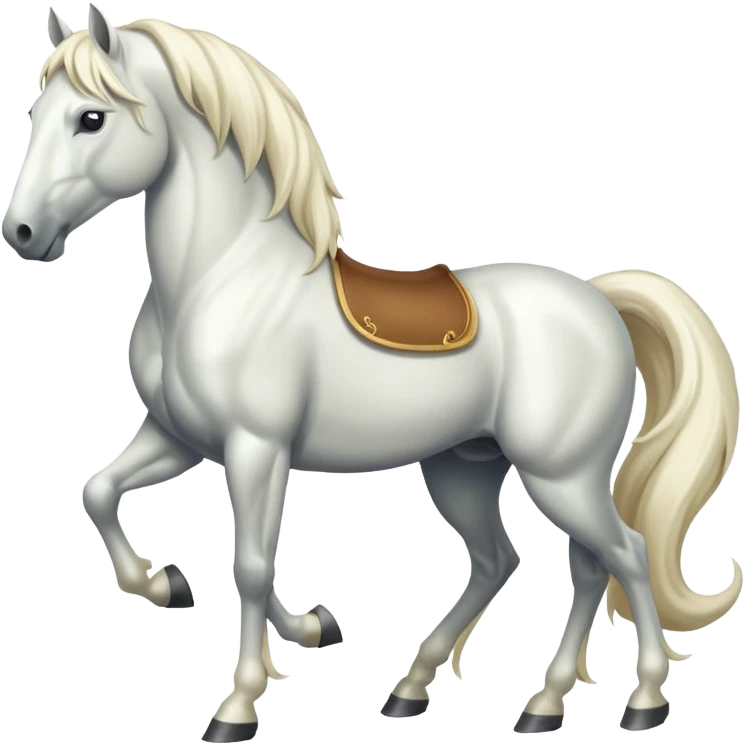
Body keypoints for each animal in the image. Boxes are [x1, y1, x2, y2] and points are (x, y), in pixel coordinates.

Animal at [3, 5, 741, 742]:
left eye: (90, 118)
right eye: (35, 112)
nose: (23, 233)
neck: (223, 278)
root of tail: (597, 299)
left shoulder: (255, 448)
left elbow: (251, 565)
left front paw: (237, 706)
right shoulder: (180, 437)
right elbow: (100, 490)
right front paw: (201, 594)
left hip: (561, 474)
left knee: (624, 554)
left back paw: (641, 700)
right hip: (467, 468)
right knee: (525, 563)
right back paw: (476, 696)